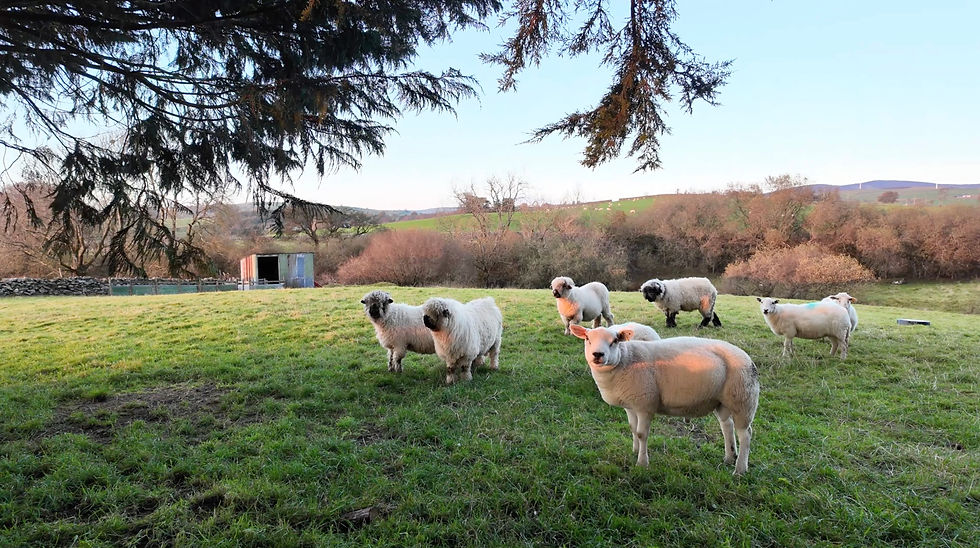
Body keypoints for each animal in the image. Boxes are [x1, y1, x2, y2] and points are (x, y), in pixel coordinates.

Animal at [569, 324, 759, 475]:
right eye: (587, 338)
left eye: (615, 340)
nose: (598, 354)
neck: (625, 359)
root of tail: (747, 357)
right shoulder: (630, 405)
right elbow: (632, 428)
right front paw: (635, 450)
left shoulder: (645, 404)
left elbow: (641, 433)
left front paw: (642, 463)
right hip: (722, 402)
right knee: (727, 426)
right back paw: (729, 457)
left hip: (743, 401)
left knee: (745, 434)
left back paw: (740, 469)